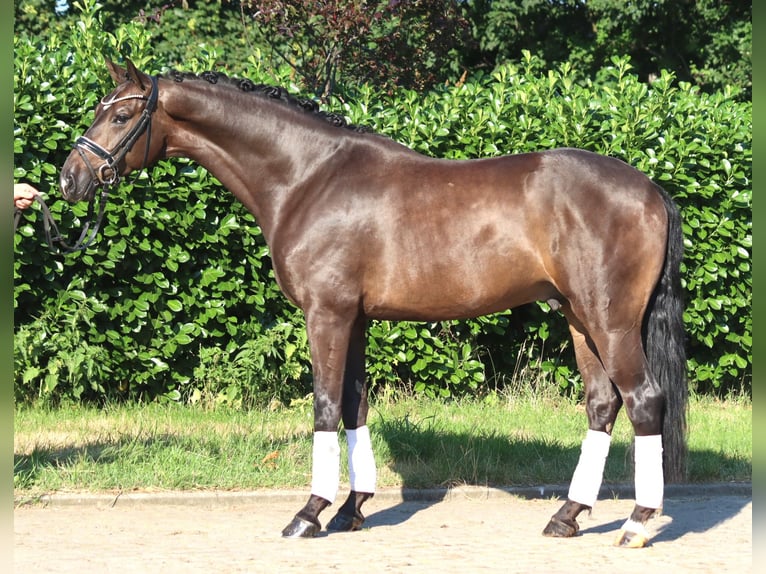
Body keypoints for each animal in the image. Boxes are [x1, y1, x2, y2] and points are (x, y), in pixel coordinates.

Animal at [59, 59, 687, 547]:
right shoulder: (355, 319)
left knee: (643, 400)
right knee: (602, 405)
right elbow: (355, 406)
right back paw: (567, 517)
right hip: (580, 320)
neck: (308, 177)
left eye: (120, 116)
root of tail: (651, 189)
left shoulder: (327, 314)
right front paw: (352, 510)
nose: (69, 180)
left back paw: (637, 523)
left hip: (610, 321)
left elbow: (324, 405)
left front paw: (309, 514)